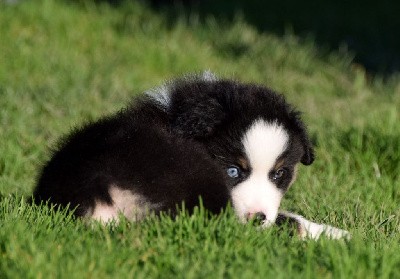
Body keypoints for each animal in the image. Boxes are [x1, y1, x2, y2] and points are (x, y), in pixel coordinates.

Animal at [32, 73, 348, 240]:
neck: (176, 118)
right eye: (233, 171)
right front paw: (342, 235)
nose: (257, 217)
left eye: (279, 174)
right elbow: (288, 218)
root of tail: (97, 192)